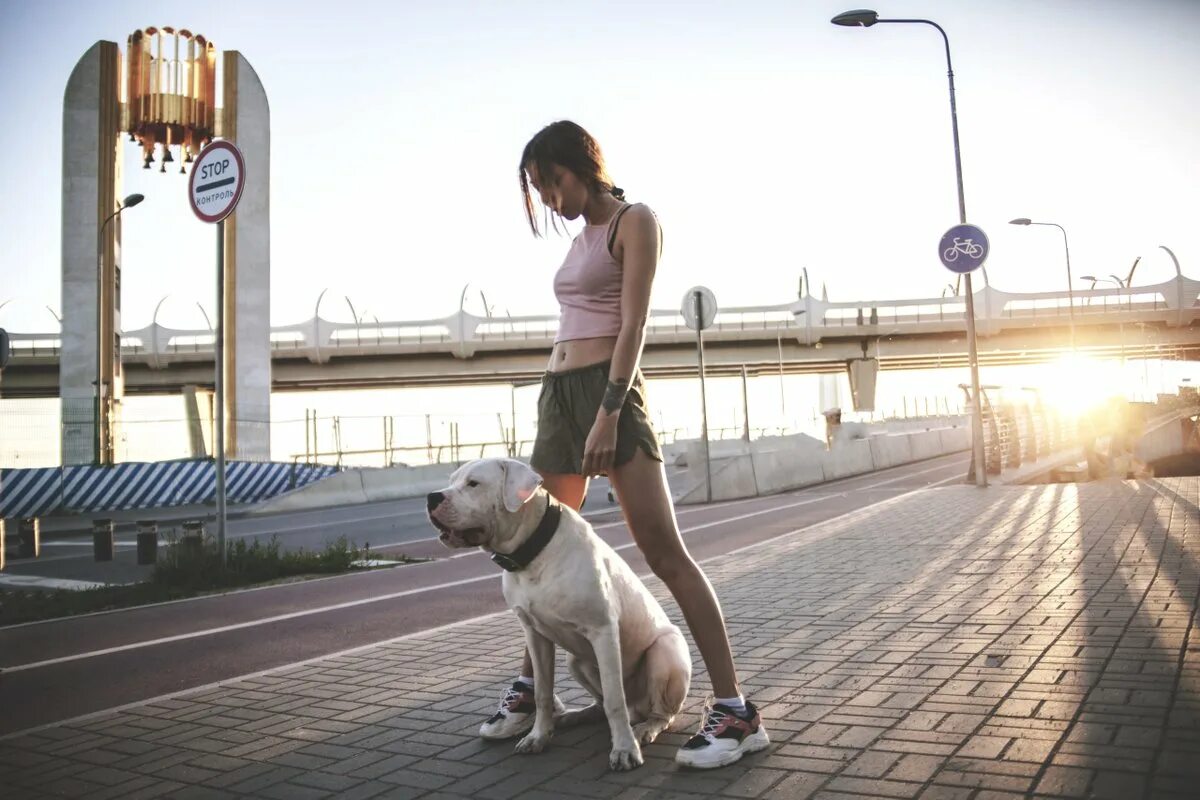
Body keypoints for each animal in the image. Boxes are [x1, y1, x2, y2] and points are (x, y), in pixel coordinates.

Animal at [427, 460, 691, 772]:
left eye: (473, 484)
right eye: (451, 480)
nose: (432, 497)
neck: (533, 554)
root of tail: (638, 708)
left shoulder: (603, 631)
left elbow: (615, 699)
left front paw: (625, 750)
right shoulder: (535, 634)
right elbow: (542, 692)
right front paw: (538, 736)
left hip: (666, 650)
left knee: (657, 712)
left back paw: (644, 729)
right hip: (574, 660)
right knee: (601, 703)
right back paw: (574, 716)